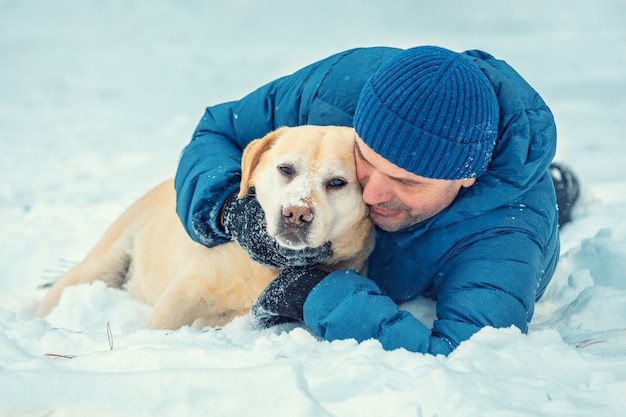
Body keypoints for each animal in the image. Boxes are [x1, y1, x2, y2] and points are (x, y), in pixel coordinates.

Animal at [36, 125, 372, 330]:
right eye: (285, 169)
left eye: (337, 182)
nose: (296, 213)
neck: (267, 268)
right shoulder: (188, 289)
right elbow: (160, 324)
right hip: (101, 265)